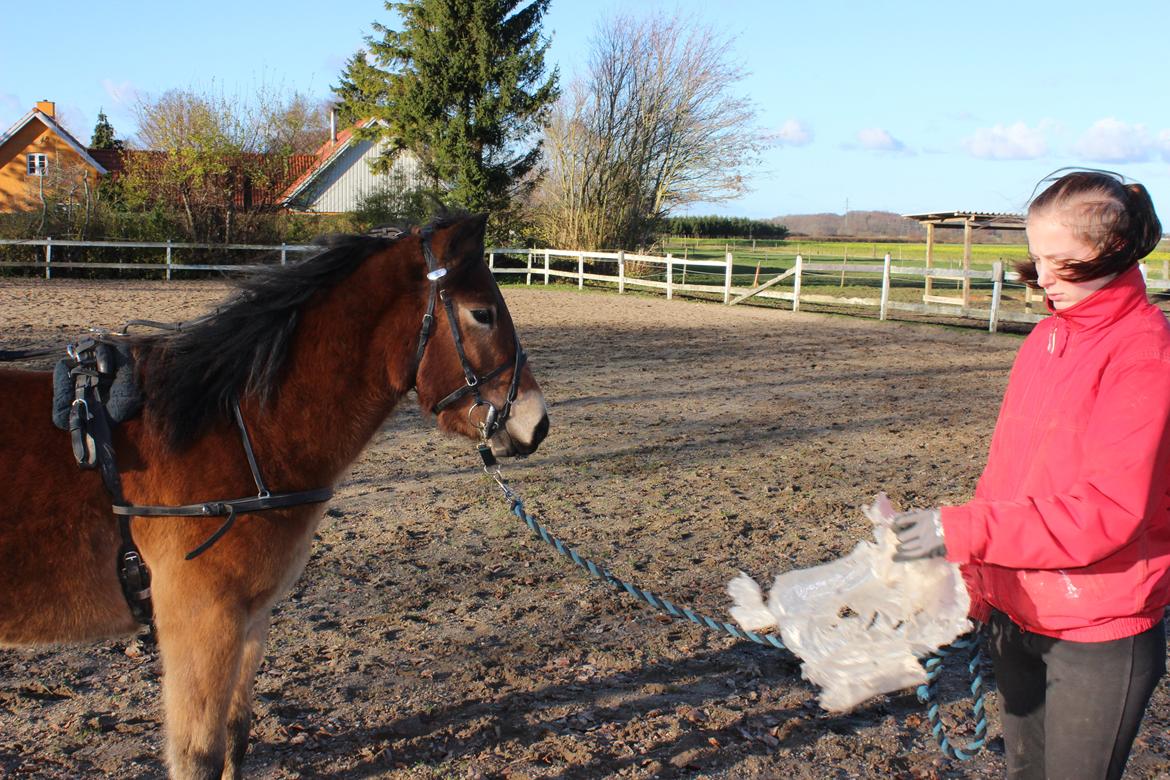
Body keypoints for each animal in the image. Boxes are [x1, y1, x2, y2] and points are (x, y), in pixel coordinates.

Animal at [0, 214, 547, 780]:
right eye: (482, 313)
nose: (537, 423)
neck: (236, 430)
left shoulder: (251, 616)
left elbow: (236, 734)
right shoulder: (200, 618)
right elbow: (199, 755)